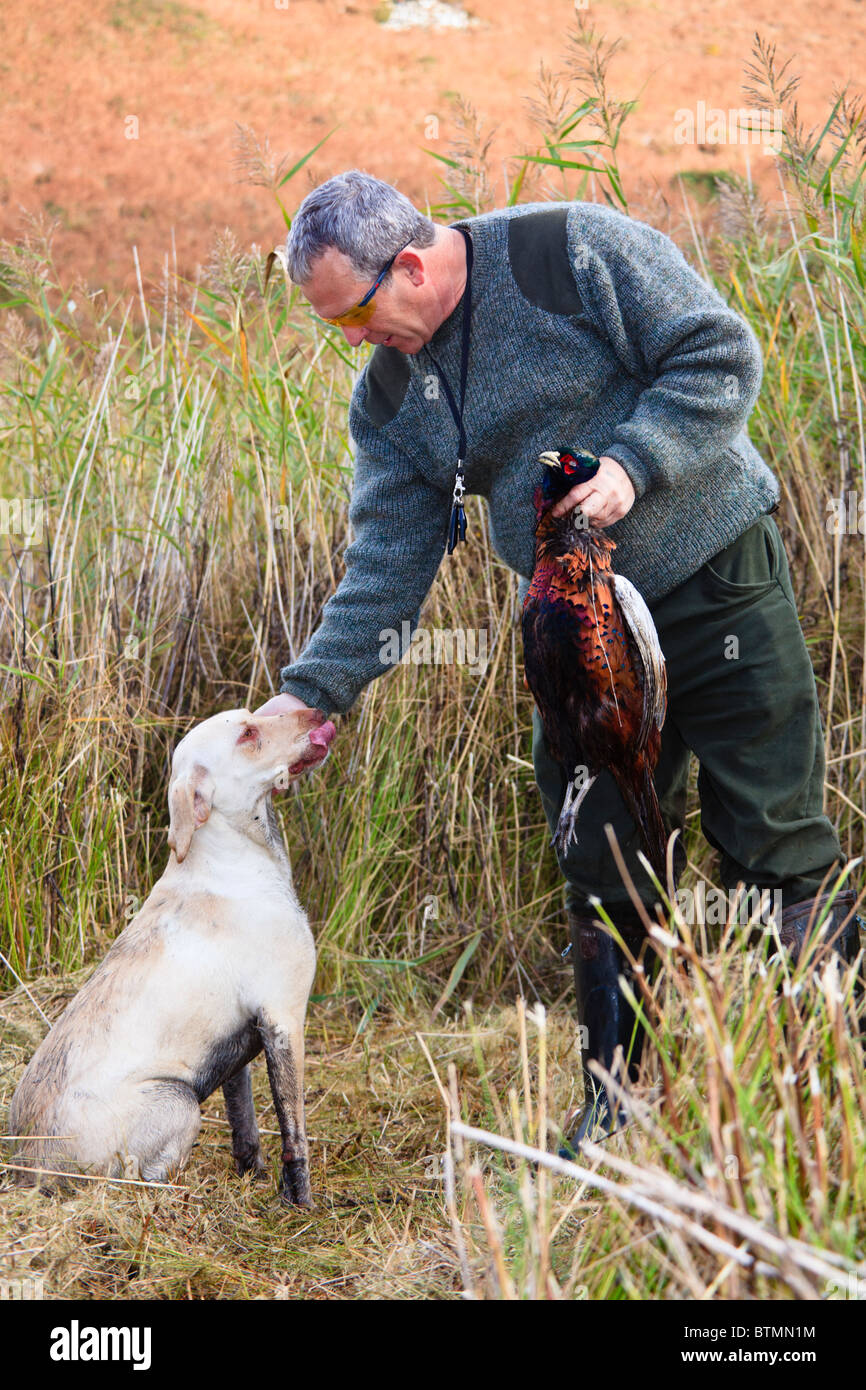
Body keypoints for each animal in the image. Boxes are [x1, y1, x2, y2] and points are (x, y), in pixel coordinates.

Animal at [10, 706, 335, 1206]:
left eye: (254, 714)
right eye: (248, 734)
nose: (316, 712)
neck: (232, 858)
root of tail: (28, 1167)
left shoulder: (242, 1045)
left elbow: (245, 1123)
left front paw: (251, 1173)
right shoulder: (284, 1019)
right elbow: (292, 1133)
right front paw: (301, 1202)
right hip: (179, 1101)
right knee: (138, 1178)